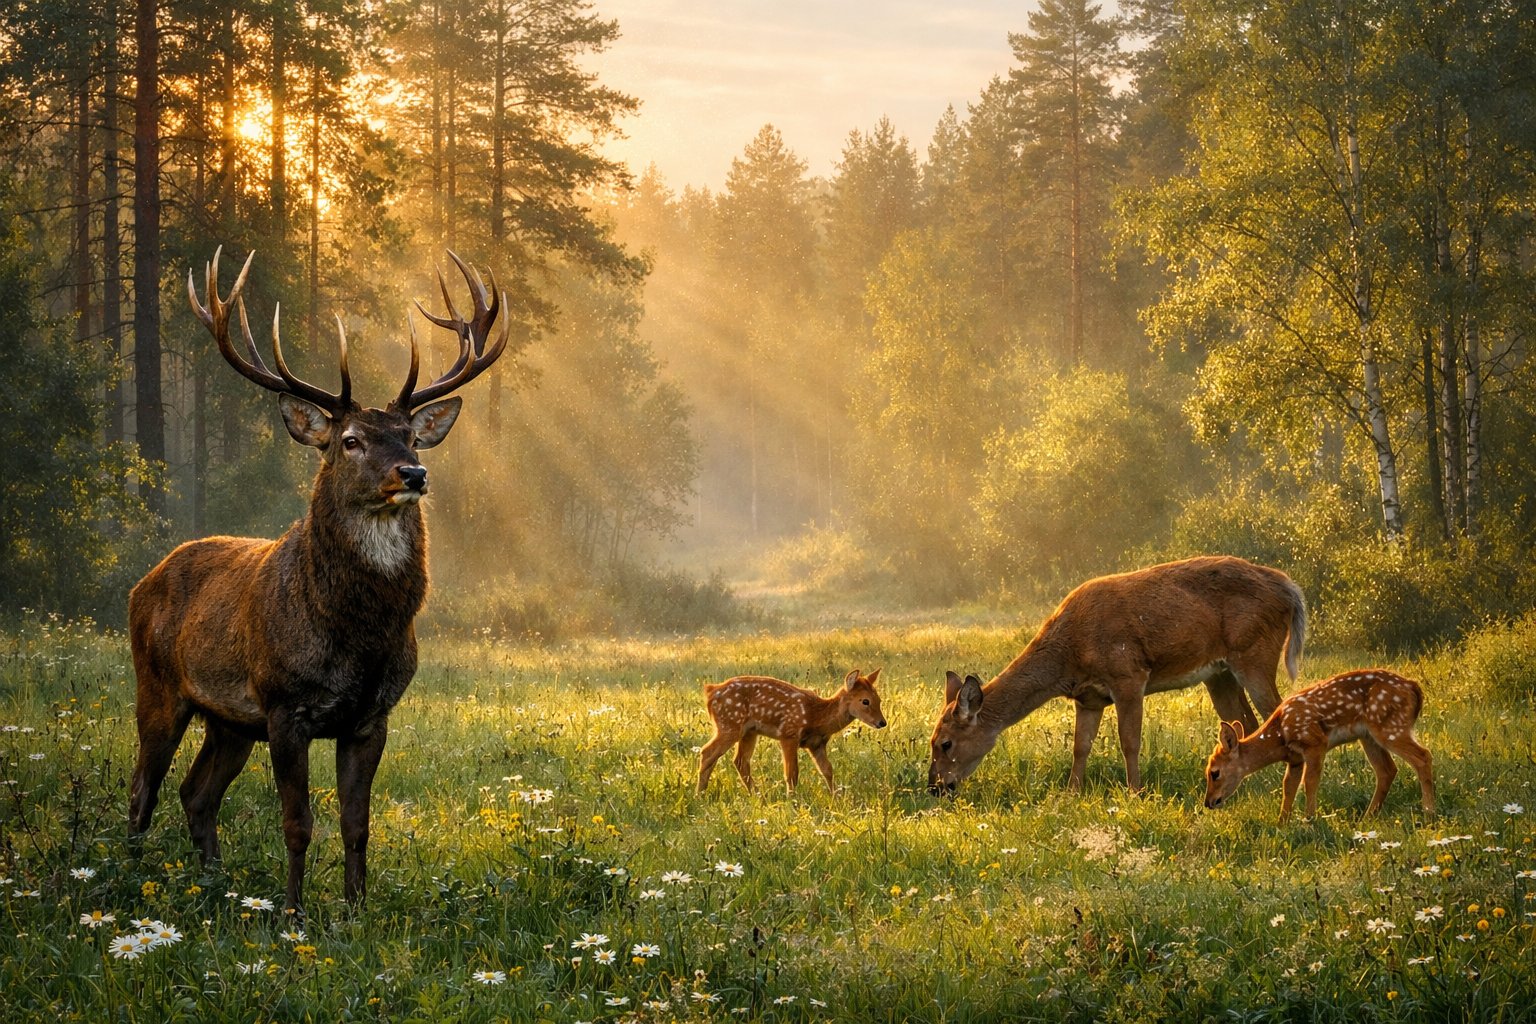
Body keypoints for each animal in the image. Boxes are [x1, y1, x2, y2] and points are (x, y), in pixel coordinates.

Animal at [128, 247, 506, 912]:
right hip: (159, 688)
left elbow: (357, 824)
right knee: (140, 791)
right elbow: (297, 823)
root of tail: (139, 584)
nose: (413, 473)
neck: (357, 634)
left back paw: (215, 884)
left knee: (196, 793)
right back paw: (121, 876)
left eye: (410, 436)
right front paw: (293, 912)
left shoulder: (371, 716)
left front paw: (355, 912)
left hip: (229, 720)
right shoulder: (285, 705)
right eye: (350, 440)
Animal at [697, 669, 887, 795]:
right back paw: (699, 795)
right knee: (707, 752)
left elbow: (827, 770)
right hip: (729, 724)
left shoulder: (817, 744)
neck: (816, 716)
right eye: (865, 701)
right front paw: (793, 801)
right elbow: (792, 773)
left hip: (748, 731)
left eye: (879, 699)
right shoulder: (789, 733)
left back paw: (757, 795)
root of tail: (710, 692)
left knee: (739, 761)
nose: (882, 722)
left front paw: (836, 798)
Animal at [927, 555, 1307, 796]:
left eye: (945, 743)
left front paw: (1135, 792)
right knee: (1245, 721)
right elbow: (1080, 746)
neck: (1070, 655)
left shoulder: (1128, 675)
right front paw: (1071, 794)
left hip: (1255, 652)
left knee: (1277, 708)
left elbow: (1129, 741)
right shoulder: (1089, 698)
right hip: (1219, 673)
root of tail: (1291, 588)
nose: (935, 787)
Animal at [1203, 668, 1434, 822]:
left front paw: (1309, 821)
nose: (1208, 802)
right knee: (1387, 770)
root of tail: (1414, 687)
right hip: (1369, 736)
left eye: (1215, 772)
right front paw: (1282, 823)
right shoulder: (1295, 758)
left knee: (1423, 756)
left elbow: (1310, 782)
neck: (1280, 734)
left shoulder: (1314, 742)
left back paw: (1428, 812)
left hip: (1390, 727)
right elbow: (1288, 786)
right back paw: (1367, 817)